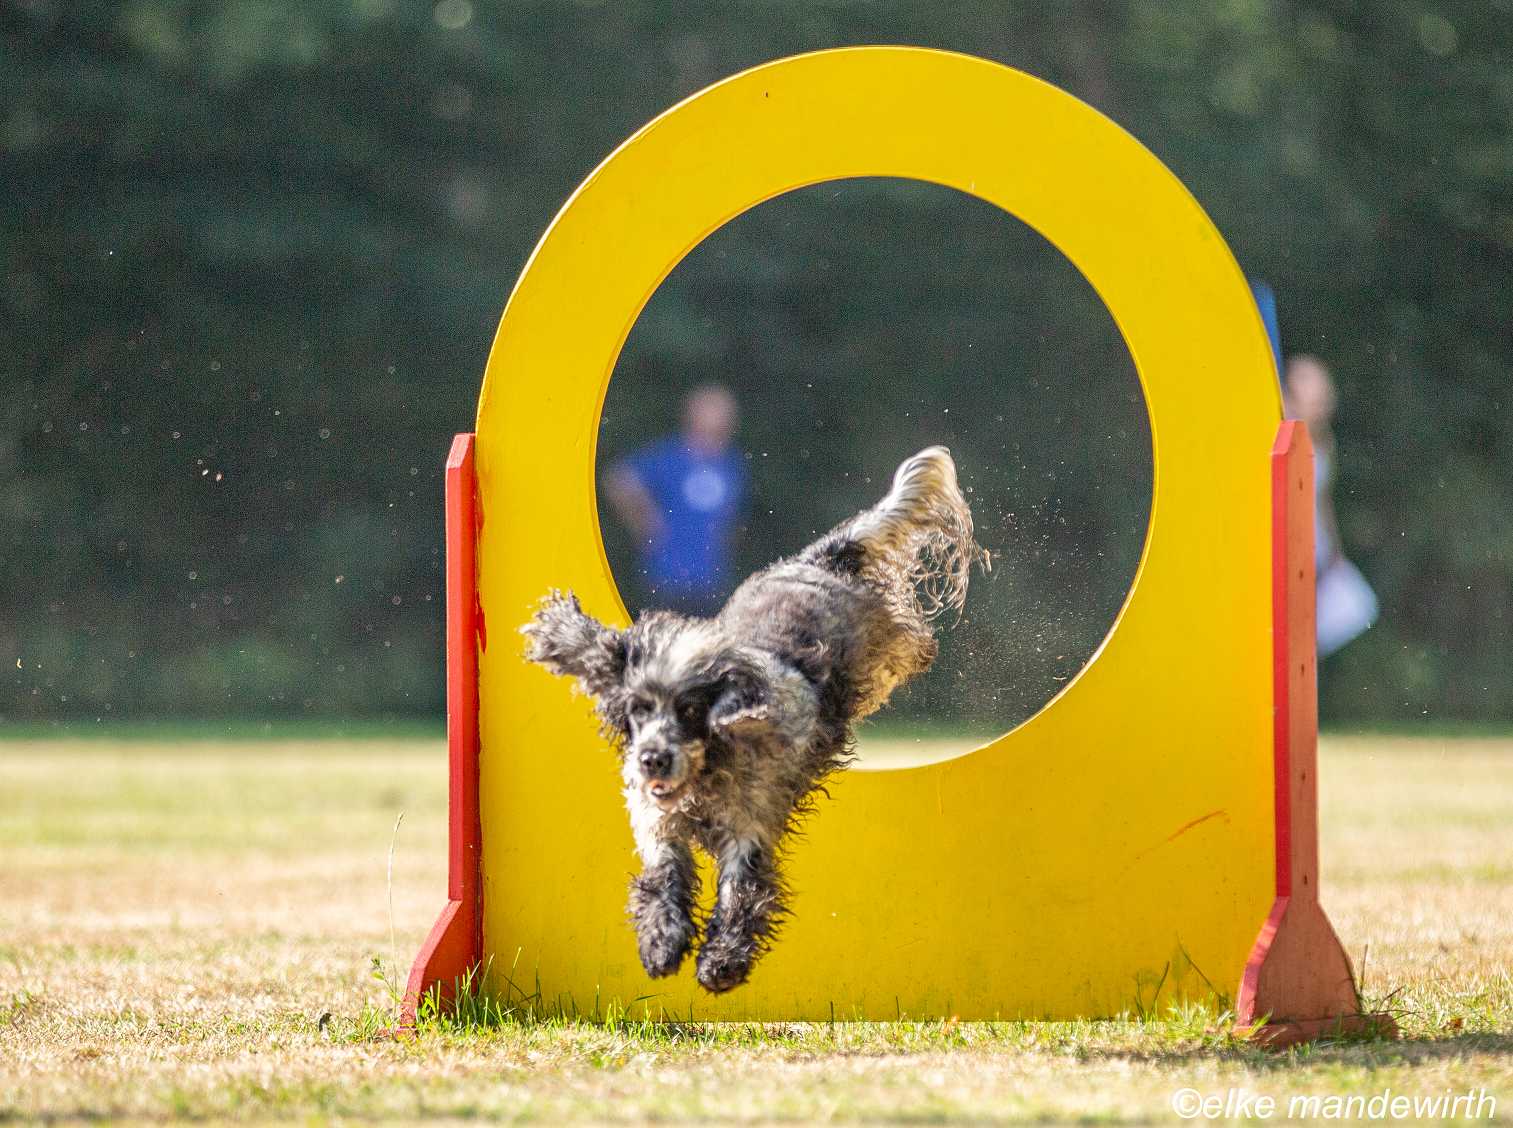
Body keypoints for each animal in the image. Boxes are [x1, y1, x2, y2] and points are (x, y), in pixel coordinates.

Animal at [521, 446, 987, 993]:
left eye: (691, 710)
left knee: (911, 647)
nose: (652, 759)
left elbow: (741, 897)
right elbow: (662, 880)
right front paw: (661, 943)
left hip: (886, 651)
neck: (709, 771)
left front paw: (721, 962)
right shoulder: (659, 825)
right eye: (638, 709)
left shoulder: (749, 833)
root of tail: (818, 559)